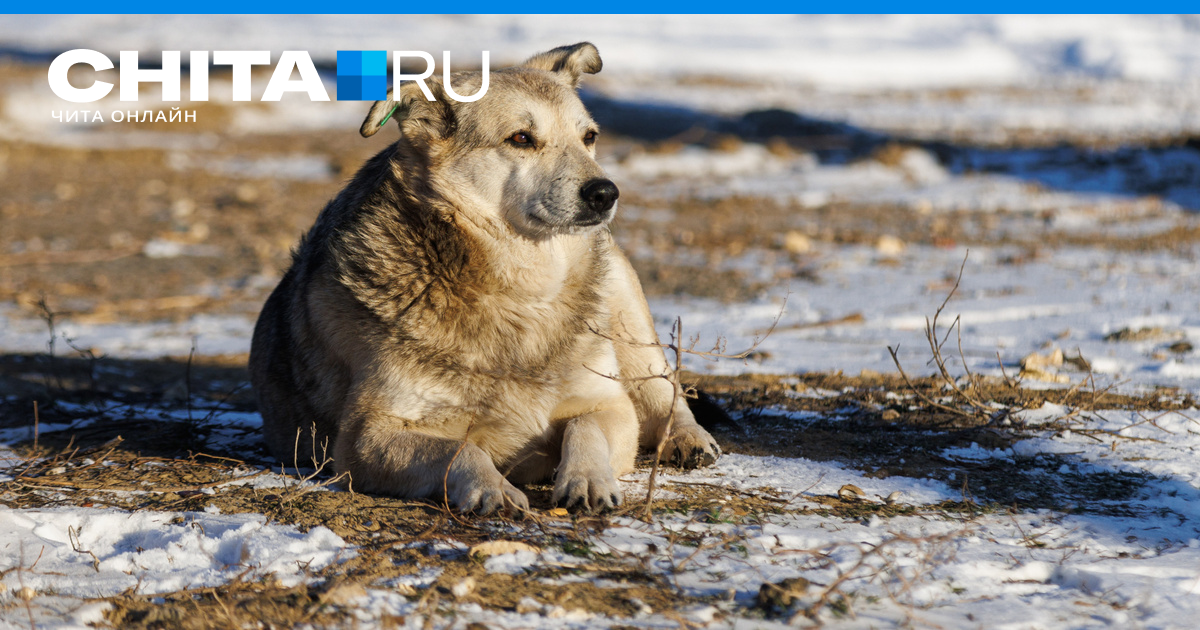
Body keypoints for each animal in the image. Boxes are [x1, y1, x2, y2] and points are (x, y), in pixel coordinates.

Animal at [247, 41, 715, 513]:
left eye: (589, 137)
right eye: (521, 138)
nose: (605, 193)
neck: (522, 291)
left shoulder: (607, 404)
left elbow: (586, 428)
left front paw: (588, 479)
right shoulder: (364, 438)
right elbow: (459, 448)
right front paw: (492, 488)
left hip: (624, 306)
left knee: (663, 386)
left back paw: (688, 438)